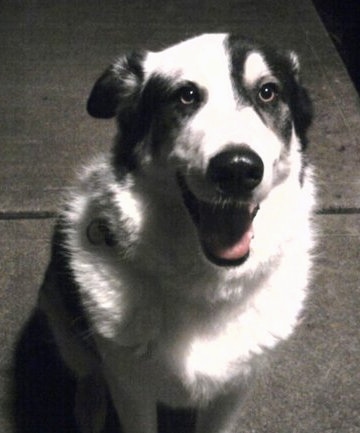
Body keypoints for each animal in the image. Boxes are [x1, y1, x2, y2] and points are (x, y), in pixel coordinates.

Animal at [38, 33, 316, 432]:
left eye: (267, 92)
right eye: (185, 95)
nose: (237, 169)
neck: (207, 285)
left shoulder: (233, 391)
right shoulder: (131, 390)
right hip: (59, 312)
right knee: (89, 369)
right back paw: (89, 404)